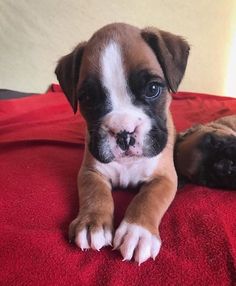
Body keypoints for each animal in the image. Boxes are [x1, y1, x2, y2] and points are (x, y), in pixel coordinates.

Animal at [55, 22, 190, 264]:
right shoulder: (90, 171)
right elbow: (94, 193)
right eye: (88, 98)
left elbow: (148, 198)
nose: (124, 133)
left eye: (152, 89)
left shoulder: (164, 179)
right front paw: (92, 222)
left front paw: (138, 232)